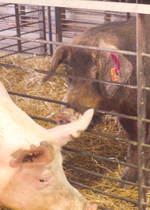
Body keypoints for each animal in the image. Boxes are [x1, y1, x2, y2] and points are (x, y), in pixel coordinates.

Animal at [43, 16, 150, 189]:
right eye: (68, 73)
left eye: (97, 73)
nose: (64, 115)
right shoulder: (125, 114)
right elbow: (135, 144)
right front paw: (124, 183)